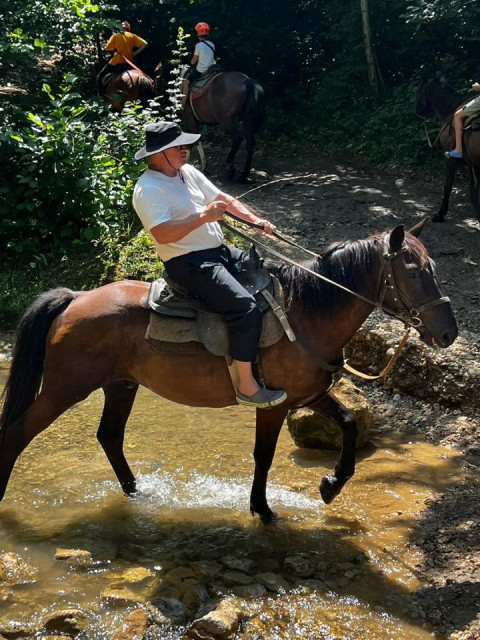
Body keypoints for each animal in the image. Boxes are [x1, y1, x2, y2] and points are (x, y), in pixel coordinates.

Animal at [0, 222, 458, 524]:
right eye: (413, 272)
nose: (449, 333)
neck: (306, 313)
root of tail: (75, 297)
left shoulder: (308, 396)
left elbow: (347, 422)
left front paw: (331, 485)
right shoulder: (274, 404)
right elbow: (264, 454)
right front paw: (263, 509)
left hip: (120, 385)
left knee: (109, 437)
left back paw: (137, 492)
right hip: (64, 388)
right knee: (18, 432)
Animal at [414, 77, 480, 222]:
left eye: (420, 92)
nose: (417, 111)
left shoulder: (450, 161)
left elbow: (447, 187)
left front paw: (440, 214)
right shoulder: (471, 164)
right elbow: (474, 192)